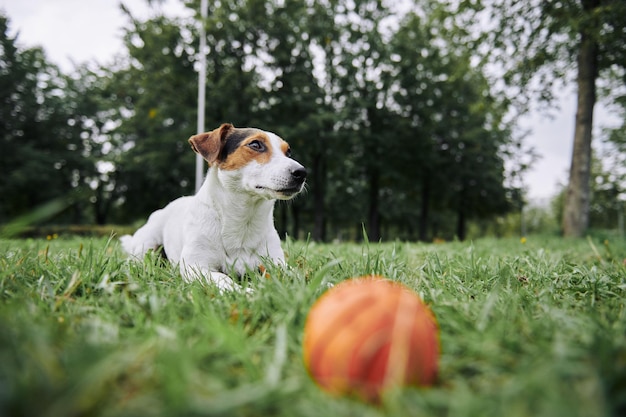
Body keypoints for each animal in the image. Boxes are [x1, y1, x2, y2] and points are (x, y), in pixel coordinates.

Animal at [118, 123, 306, 290]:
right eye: (255, 144)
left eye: (288, 151)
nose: (302, 173)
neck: (243, 219)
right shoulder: (196, 267)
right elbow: (224, 279)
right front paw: (246, 293)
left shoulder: (276, 263)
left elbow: (298, 274)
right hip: (146, 245)